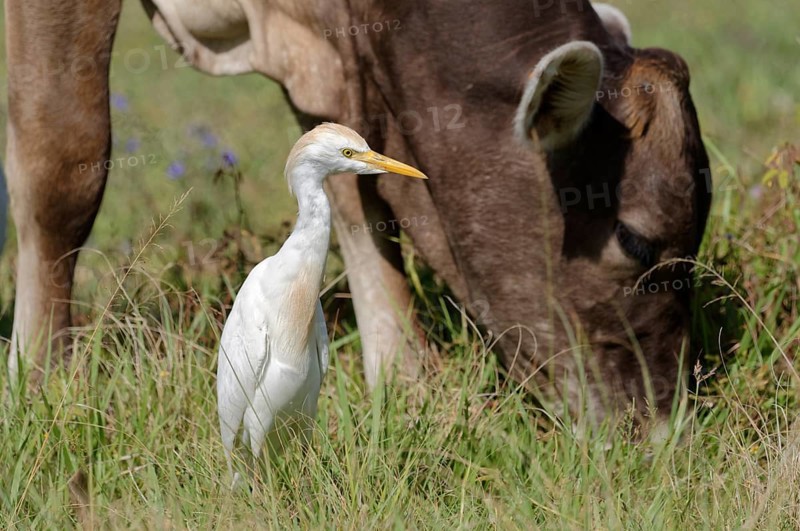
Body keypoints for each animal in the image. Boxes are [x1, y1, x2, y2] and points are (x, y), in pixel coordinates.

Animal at [4, 0, 711, 426]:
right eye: (635, 240)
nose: (663, 430)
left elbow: (356, 193)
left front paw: (403, 382)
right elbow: (66, 159)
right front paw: (37, 381)